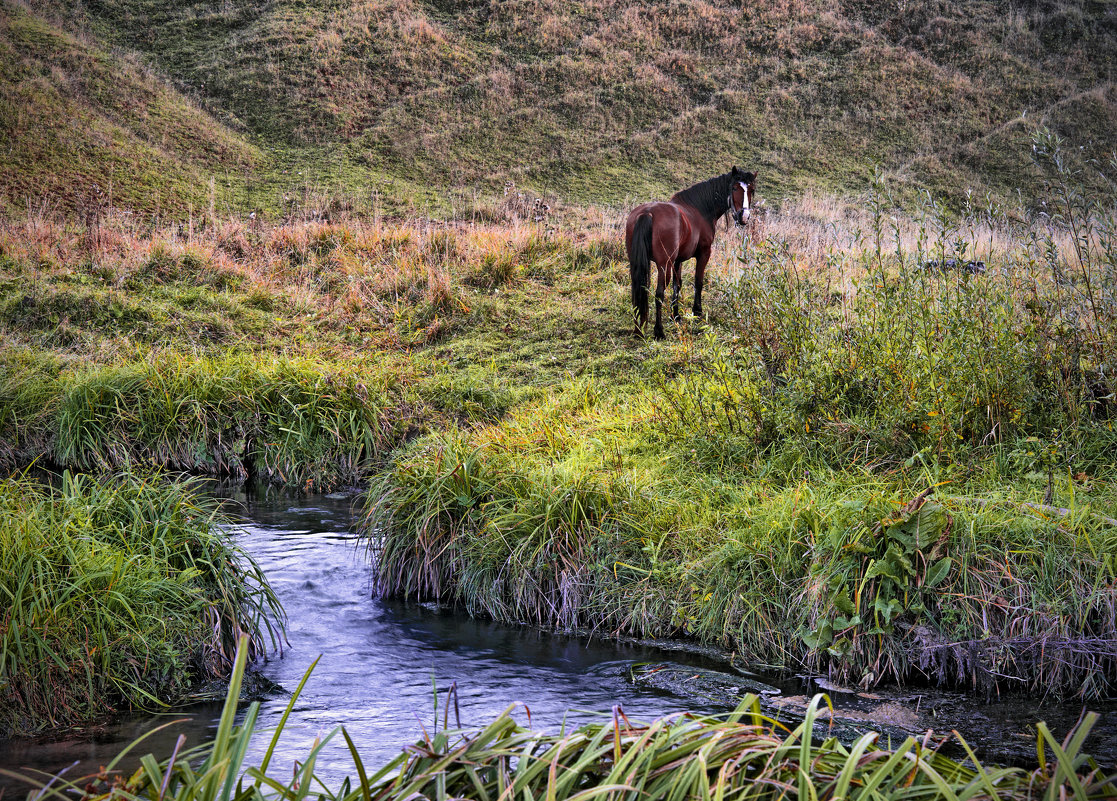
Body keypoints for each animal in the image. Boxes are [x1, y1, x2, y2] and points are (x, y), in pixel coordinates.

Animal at [625, 168, 755, 337]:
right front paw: (697, 312)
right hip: (663, 265)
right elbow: (698, 282)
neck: (699, 210)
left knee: (637, 291)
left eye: (752, 190)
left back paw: (638, 329)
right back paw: (659, 331)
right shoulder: (704, 254)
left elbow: (677, 285)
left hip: (637, 263)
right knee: (659, 293)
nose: (743, 216)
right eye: (734, 188)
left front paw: (676, 315)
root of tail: (647, 213)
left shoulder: (677, 261)